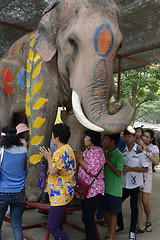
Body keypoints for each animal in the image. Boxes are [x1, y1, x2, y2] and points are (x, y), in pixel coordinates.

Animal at [0, 0, 134, 202]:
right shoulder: (38, 65)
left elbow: (75, 120)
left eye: (120, 46)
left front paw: (73, 195)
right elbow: (42, 114)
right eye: (72, 41)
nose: (119, 103)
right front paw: (33, 197)